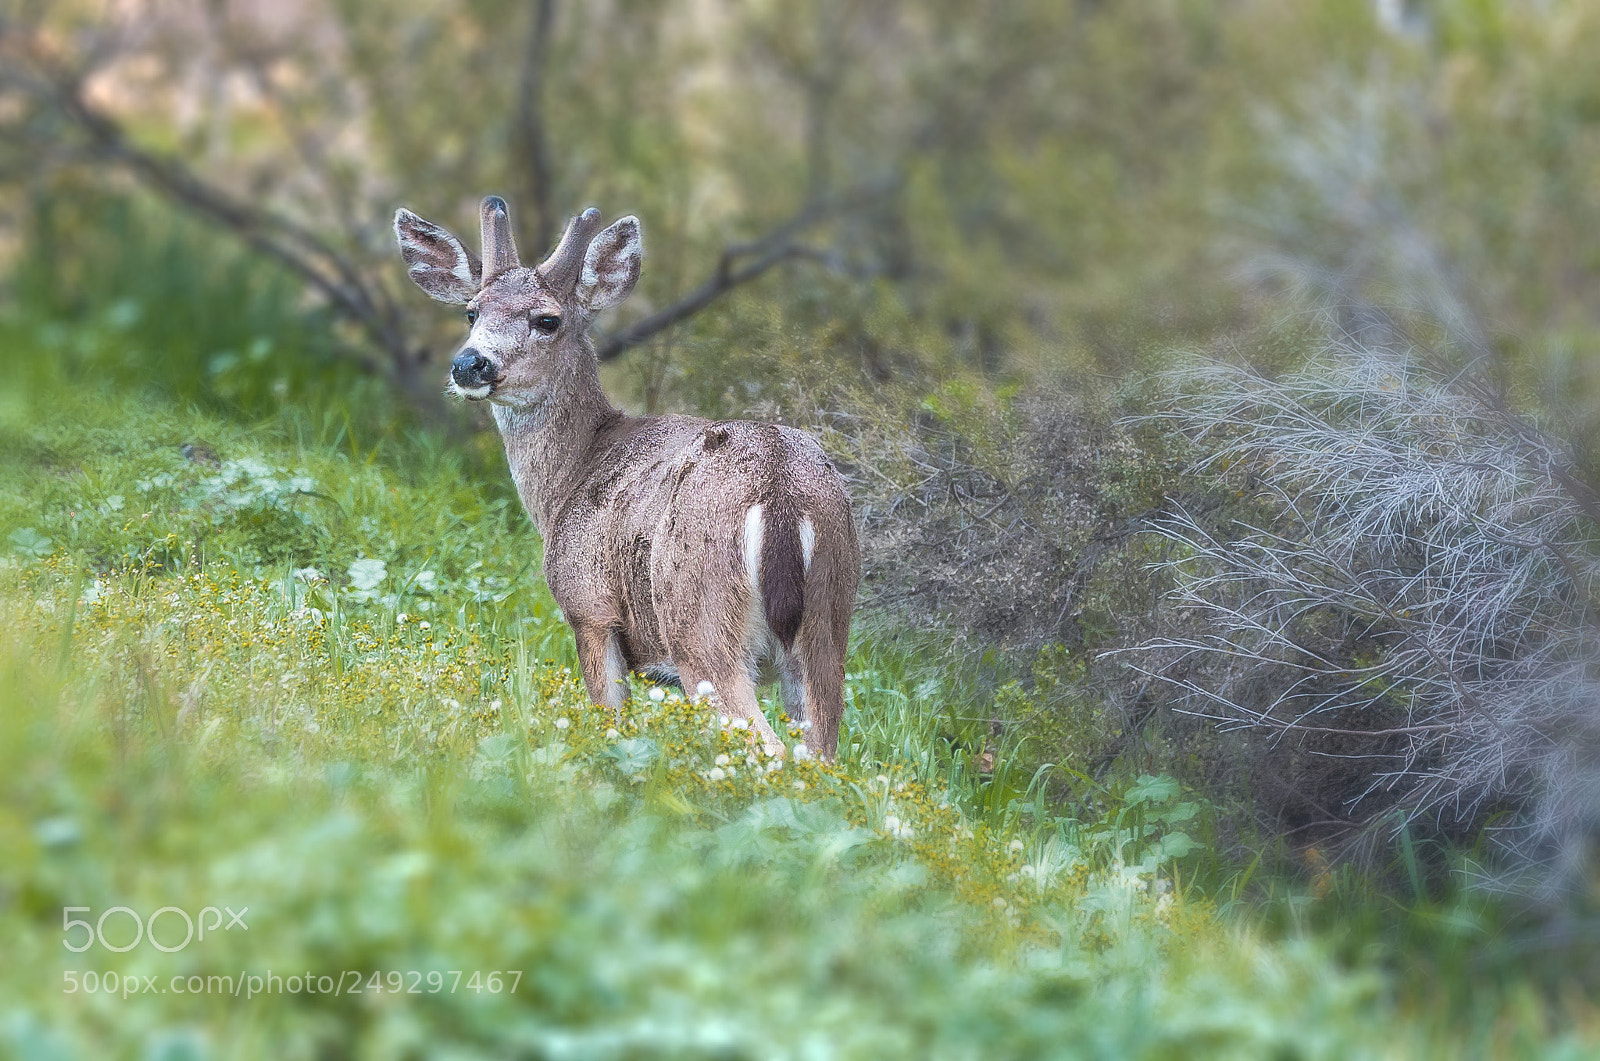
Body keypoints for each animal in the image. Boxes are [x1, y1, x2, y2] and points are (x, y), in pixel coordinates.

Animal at [394, 196, 860, 759]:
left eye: (547, 319)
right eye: (472, 311)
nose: (469, 364)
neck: (569, 479)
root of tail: (782, 496)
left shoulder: (590, 608)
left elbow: (608, 719)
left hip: (699, 620)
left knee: (763, 743)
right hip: (828, 624)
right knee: (820, 752)